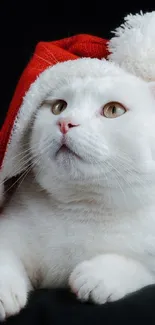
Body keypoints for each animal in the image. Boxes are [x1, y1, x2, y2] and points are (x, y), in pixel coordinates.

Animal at [0, 57, 155, 318]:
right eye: (58, 107)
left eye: (114, 110)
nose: (65, 122)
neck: (85, 209)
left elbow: (145, 266)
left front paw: (102, 275)